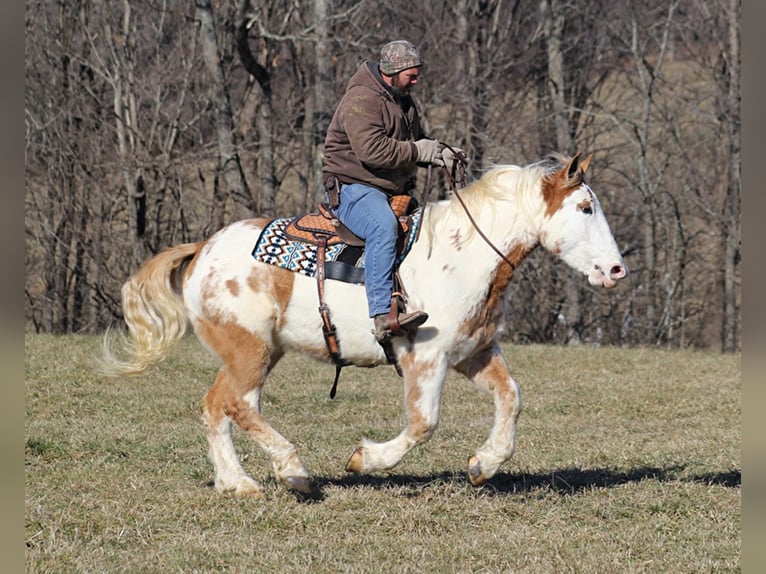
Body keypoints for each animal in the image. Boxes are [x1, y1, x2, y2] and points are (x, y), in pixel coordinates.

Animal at [102, 153, 632, 500]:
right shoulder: (426, 358)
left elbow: (511, 398)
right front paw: (365, 459)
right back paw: (293, 471)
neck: (465, 255)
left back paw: (239, 483)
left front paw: (484, 464)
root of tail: (203, 250)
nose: (616, 270)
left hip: (249, 353)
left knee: (217, 406)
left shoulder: (475, 353)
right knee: (236, 405)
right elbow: (423, 423)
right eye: (585, 208)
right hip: (249, 351)